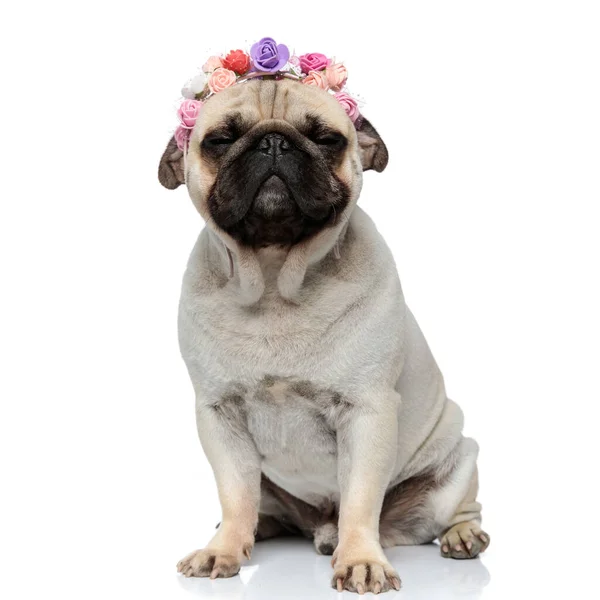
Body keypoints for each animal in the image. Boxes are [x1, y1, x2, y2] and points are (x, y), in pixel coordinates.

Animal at [161, 77, 492, 592]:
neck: (276, 279)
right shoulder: (219, 415)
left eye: (325, 138)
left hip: (458, 462)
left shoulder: (367, 412)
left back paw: (461, 537)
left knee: (455, 509)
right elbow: (234, 493)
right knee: (260, 504)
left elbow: (360, 499)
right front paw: (224, 549)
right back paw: (262, 529)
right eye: (220, 139)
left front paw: (360, 560)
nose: (273, 142)